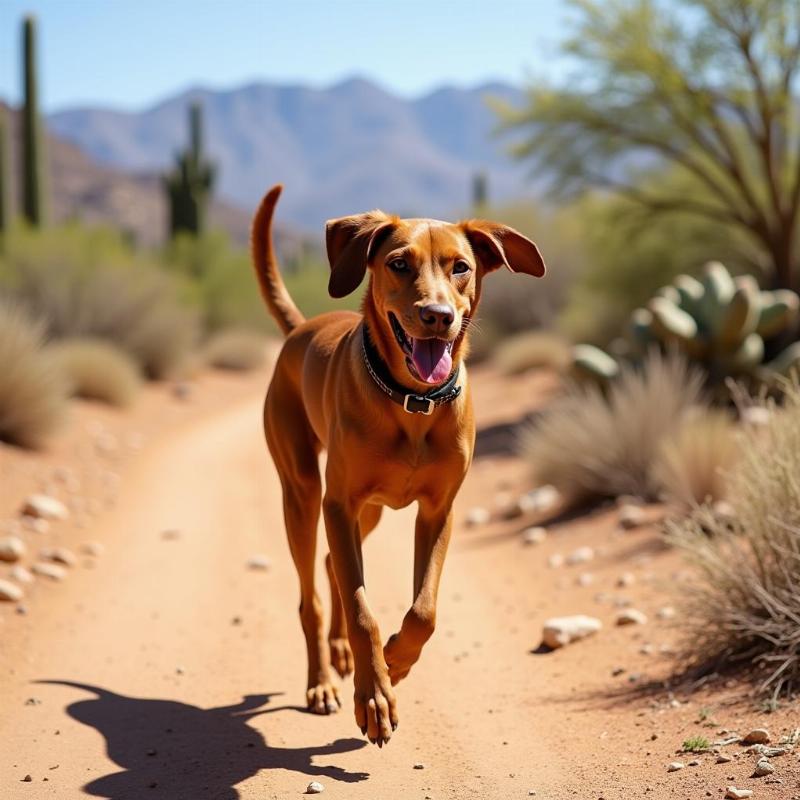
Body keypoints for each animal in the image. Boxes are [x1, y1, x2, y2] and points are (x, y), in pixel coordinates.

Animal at [253, 184, 548, 748]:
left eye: (460, 267)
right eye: (397, 263)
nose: (437, 315)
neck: (413, 403)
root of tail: (303, 328)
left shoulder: (437, 511)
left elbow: (424, 612)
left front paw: (396, 662)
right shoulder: (339, 503)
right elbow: (362, 609)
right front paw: (374, 697)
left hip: (367, 511)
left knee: (333, 564)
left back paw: (342, 654)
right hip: (304, 493)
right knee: (312, 596)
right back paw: (322, 683)